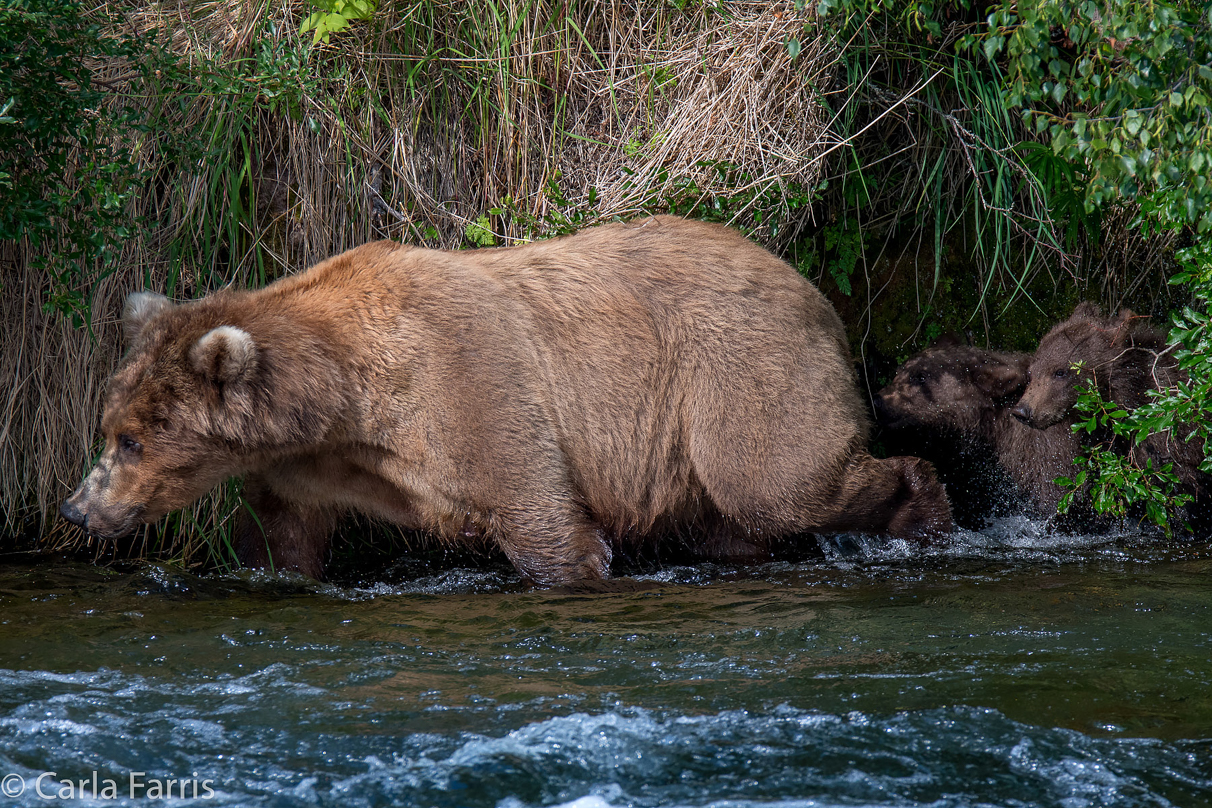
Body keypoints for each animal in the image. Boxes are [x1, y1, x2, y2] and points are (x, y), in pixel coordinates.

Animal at [61, 216, 950, 581]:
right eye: (108, 428)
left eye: (131, 440)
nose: (76, 508)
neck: (347, 402)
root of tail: (812, 288)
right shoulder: (310, 465)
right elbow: (283, 538)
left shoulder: (468, 382)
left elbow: (538, 511)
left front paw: (578, 568)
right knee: (728, 519)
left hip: (737, 367)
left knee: (774, 481)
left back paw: (926, 507)